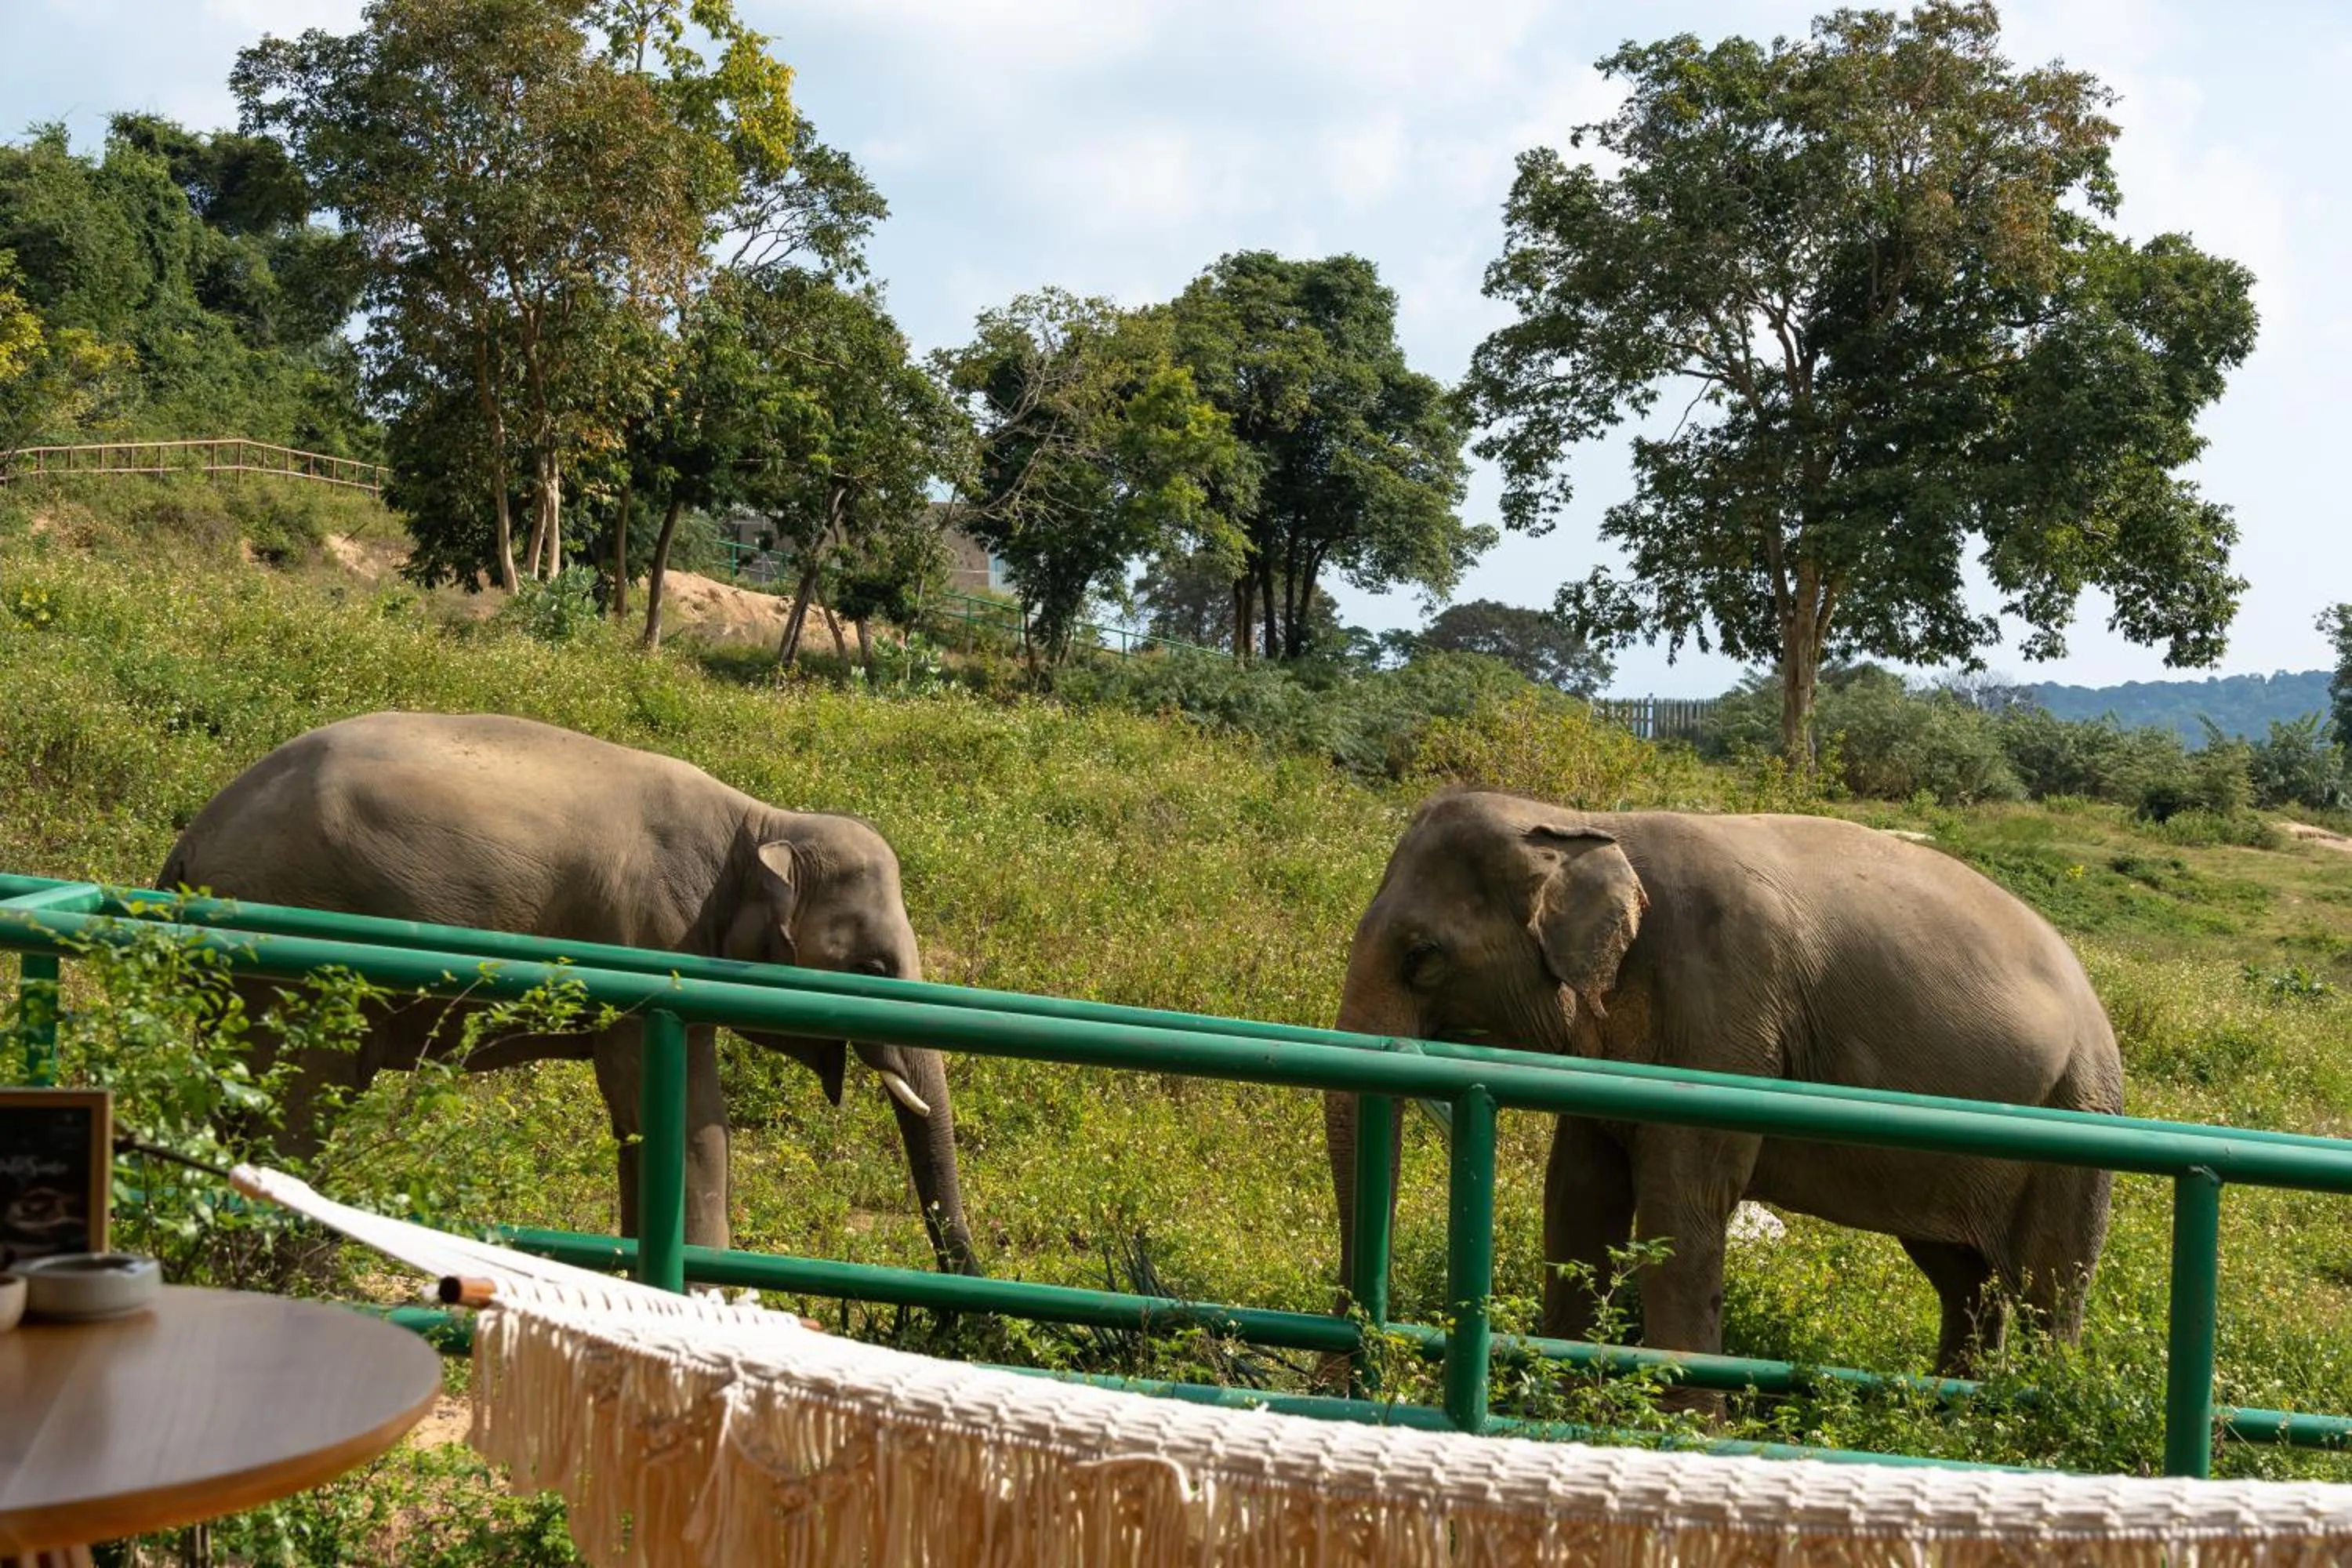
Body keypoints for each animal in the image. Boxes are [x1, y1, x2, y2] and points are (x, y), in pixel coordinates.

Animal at [158, 709, 977, 1273]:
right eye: (873, 970)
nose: (966, 1298)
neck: (762, 819)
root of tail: (189, 843)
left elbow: (645, 1117)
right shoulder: (653, 940)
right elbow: (685, 1115)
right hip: (288, 967)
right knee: (301, 1099)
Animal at [1325, 789, 2122, 1378]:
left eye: (1423, 957)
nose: (1354, 1365)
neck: (1589, 823)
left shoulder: (1725, 1004)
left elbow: (1682, 1205)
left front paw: (1686, 1427)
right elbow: (1580, 1193)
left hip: (2077, 1111)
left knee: (2049, 1290)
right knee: (1965, 1282)